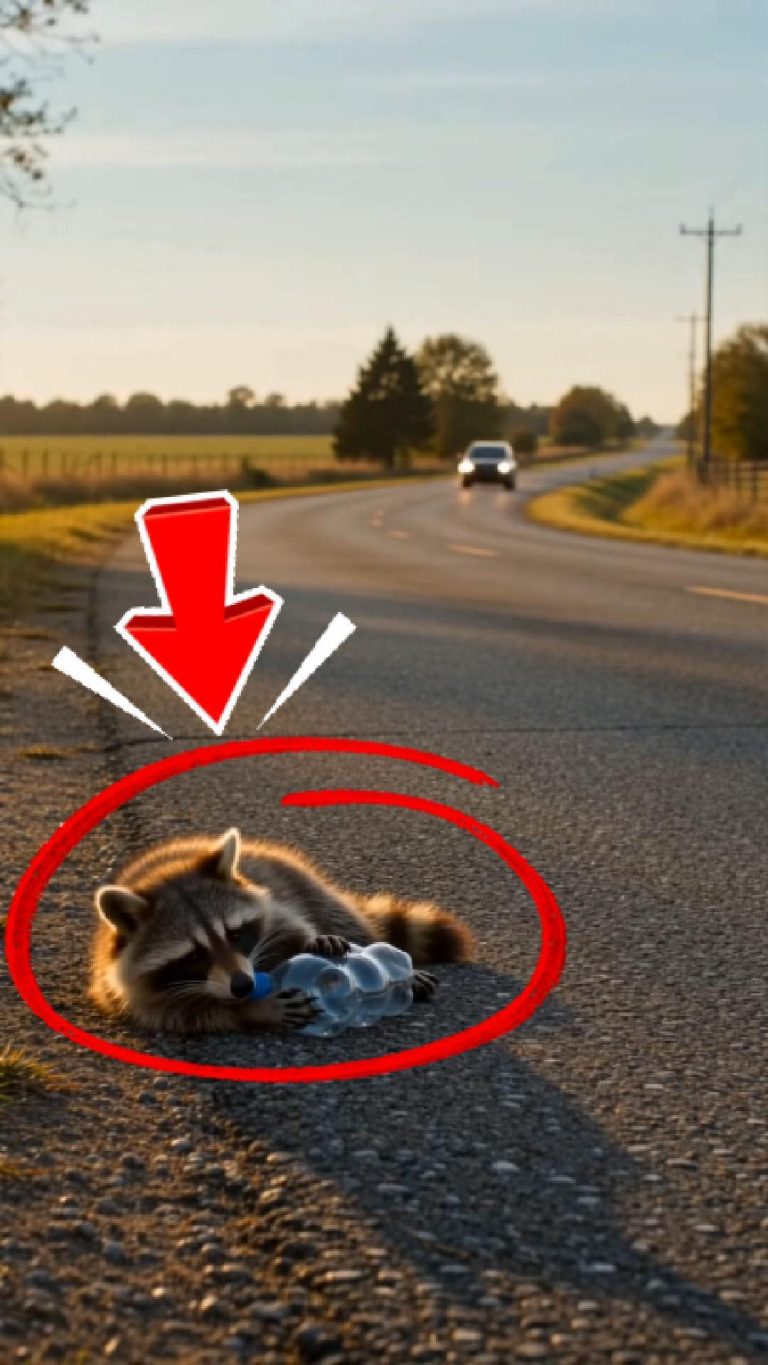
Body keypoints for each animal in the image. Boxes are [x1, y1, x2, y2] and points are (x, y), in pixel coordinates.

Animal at [89, 828, 475, 1034]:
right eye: (195, 954)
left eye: (235, 934)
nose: (243, 986)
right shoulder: (134, 989)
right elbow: (187, 1015)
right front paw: (254, 1010)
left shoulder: (275, 906)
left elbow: (294, 929)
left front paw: (313, 942)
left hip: (303, 882)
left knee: (342, 918)